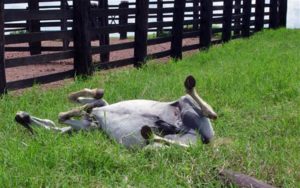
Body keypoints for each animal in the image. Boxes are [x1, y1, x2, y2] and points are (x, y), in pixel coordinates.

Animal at [15, 75, 218, 148]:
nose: (20, 116)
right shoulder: (89, 124)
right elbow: (67, 115)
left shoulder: (97, 109)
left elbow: (75, 102)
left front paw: (85, 103)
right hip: (161, 146)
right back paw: (153, 130)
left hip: (186, 111)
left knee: (209, 112)